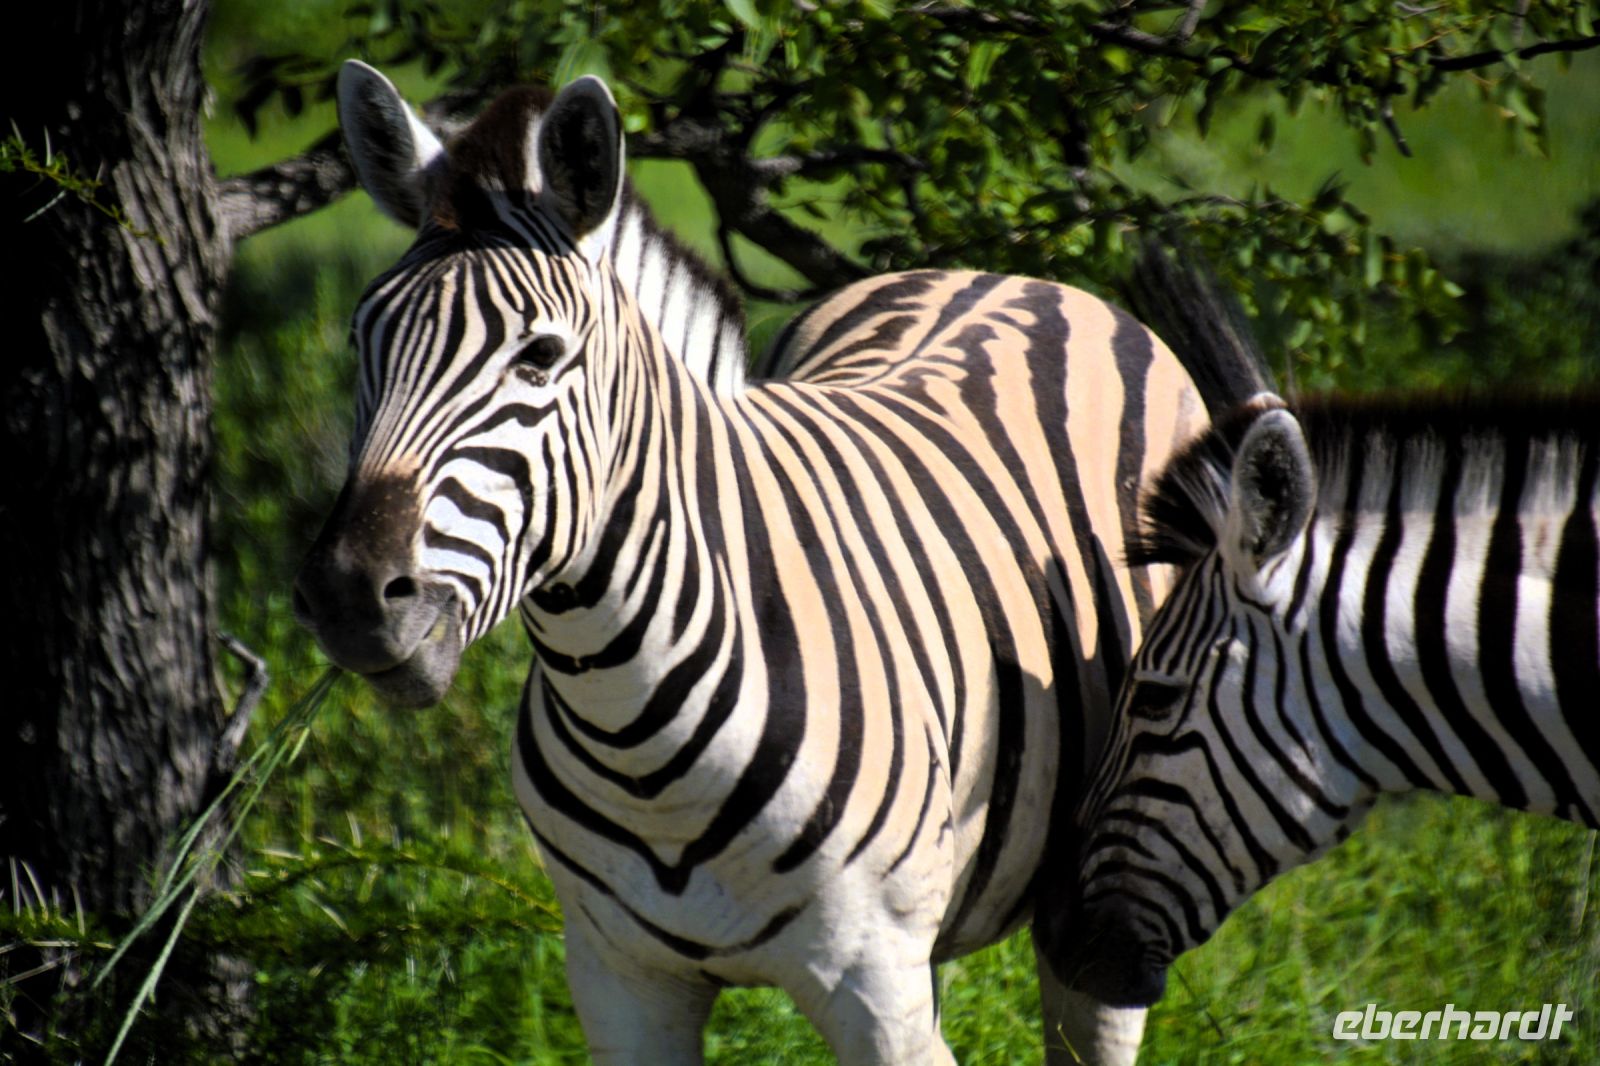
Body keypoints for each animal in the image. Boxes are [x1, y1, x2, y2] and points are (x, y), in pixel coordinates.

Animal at [293, 61, 1221, 1064]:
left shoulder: (876, 989)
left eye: (539, 356)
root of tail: (1007, 275)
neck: (634, 726)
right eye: (362, 342)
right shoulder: (620, 983)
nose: (347, 595)